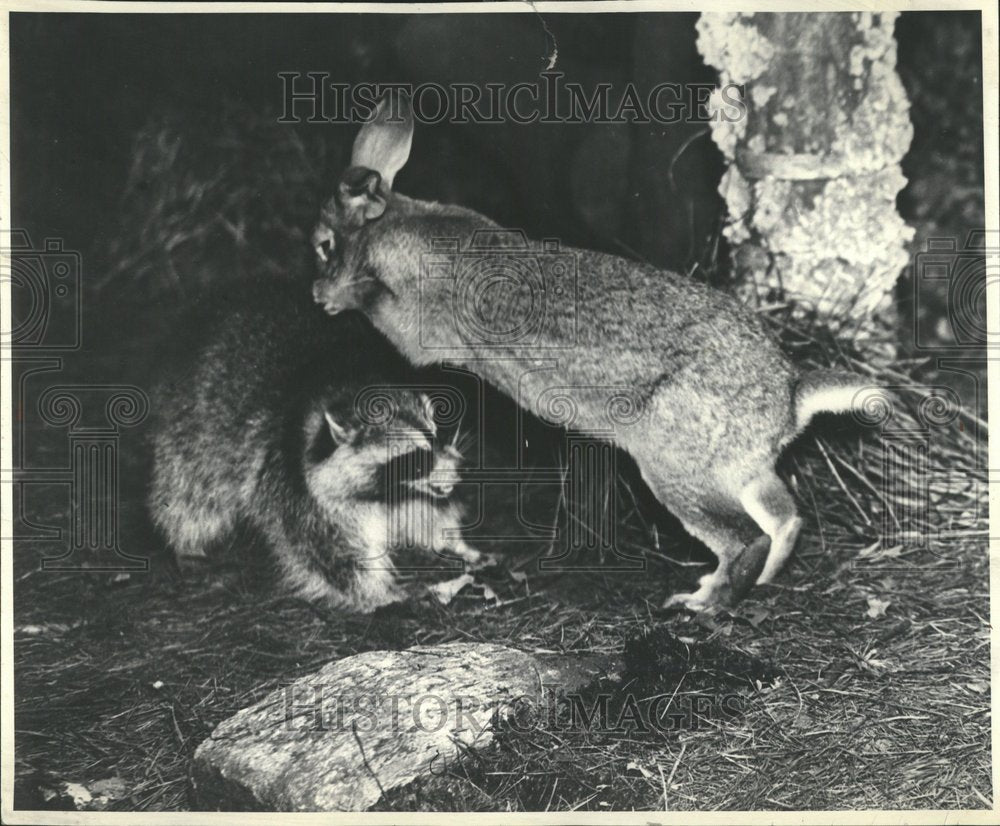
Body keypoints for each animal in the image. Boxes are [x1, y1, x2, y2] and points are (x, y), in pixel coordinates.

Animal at [147, 280, 484, 608]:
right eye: (414, 458)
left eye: (436, 436)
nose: (458, 470)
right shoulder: (293, 479)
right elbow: (331, 551)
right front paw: (380, 592)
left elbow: (426, 512)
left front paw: (455, 543)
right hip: (193, 428)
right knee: (189, 492)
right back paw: (187, 543)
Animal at [308, 96, 880, 612]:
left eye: (323, 245)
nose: (316, 295)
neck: (388, 228)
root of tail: (790, 393)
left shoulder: (414, 327)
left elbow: (384, 312)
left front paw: (344, 295)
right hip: (743, 469)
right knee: (785, 517)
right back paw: (757, 581)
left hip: (675, 466)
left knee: (746, 537)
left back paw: (702, 604)